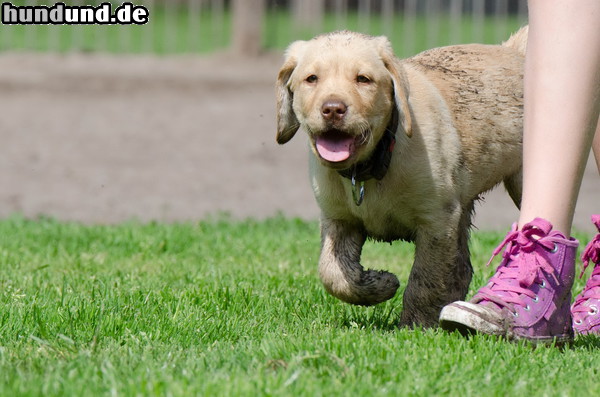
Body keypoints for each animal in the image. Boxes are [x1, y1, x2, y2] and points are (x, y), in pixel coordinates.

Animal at [276, 27, 524, 324]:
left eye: (363, 79)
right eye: (311, 79)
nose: (333, 109)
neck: (373, 164)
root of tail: (514, 50)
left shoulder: (437, 221)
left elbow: (426, 279)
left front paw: (416, 324)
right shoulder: (338, 218)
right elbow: (333, 273)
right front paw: (379, 284)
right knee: (461, 267)